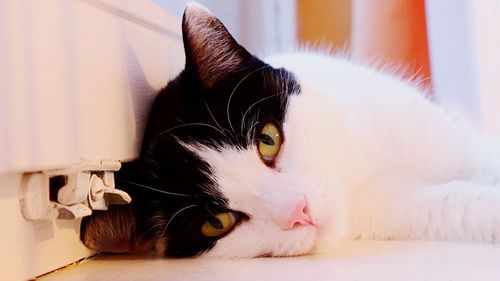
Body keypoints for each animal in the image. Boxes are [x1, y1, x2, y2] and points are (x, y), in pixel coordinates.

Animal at [80, 2, 500, 258]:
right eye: (217, 223)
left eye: (268, 140)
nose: (300, 211)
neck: (356, 165)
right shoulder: (392, 205)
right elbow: (453, 204)